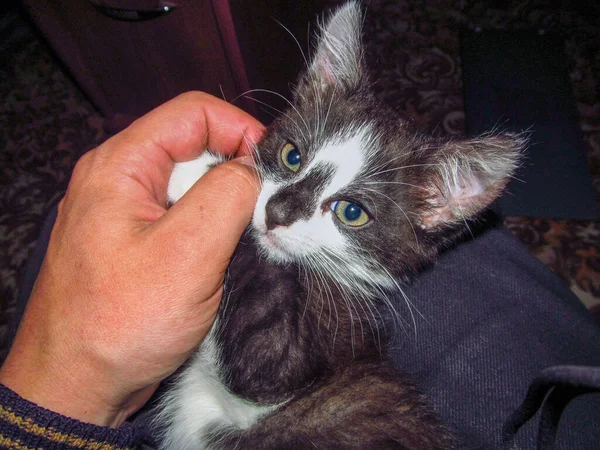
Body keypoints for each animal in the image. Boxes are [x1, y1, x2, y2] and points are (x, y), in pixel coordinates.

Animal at [156, 2, 524, 446]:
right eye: (292, 156)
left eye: (351, 212)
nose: (278, 213)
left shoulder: (301, 356)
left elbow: (263, 356)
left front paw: (198, 170)